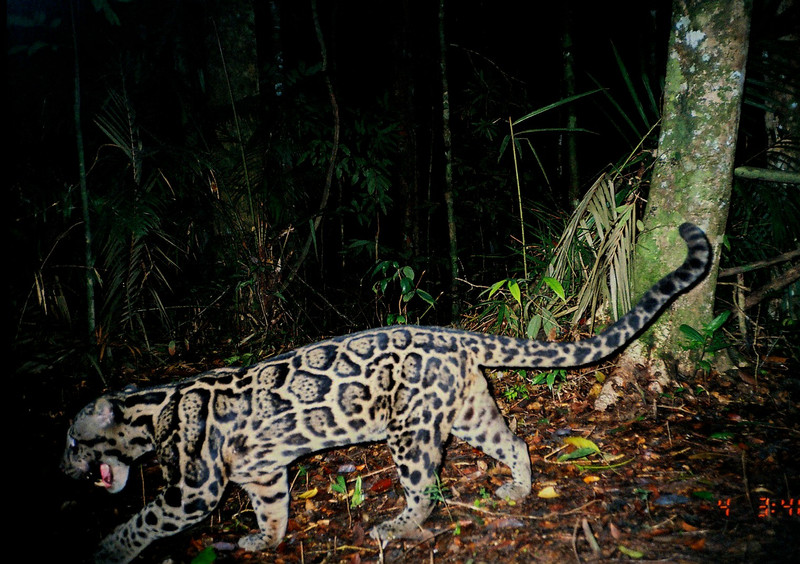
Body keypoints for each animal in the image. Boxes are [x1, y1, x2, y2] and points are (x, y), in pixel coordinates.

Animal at [62, 223, 708, 560]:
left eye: (71, 441)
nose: (64, 468)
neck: (151, 412)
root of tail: (454, 335)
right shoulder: (262, 473)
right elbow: (273, 510)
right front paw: (265, 540)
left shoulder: (192, 491)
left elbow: (143, 520)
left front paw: (106, 551)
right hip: (470, 410)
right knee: (516, 442)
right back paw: (518, 490)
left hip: (410, 430)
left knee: (427, 489)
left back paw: (395, 527)